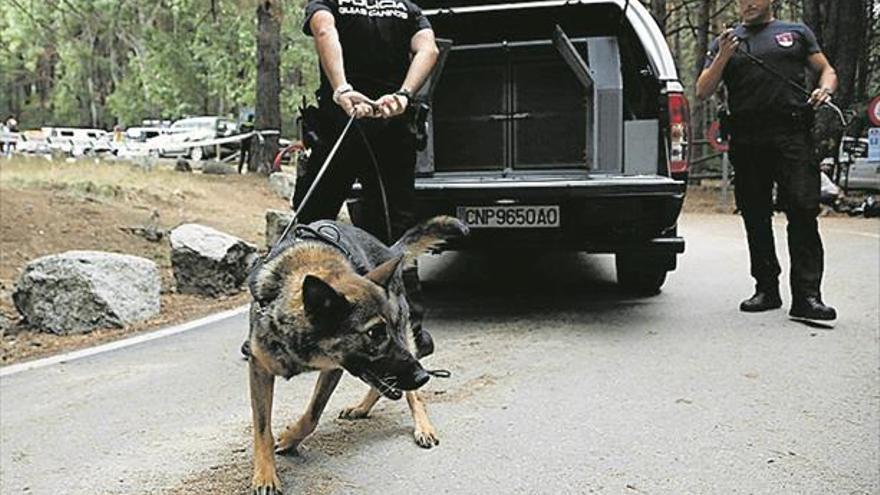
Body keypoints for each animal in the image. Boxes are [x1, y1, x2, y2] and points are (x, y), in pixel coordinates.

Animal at [246, 215, 468, 494]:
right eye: (374, 333)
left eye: (389, 328)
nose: (423, 377)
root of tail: (389, 251)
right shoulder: (259, 368)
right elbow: (262, 428)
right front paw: (265, 474)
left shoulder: (334, 368)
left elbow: (313, 415)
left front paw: (289, 438)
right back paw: (363, 408)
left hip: (406, 344)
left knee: (412, 395)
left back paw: (422, 426)